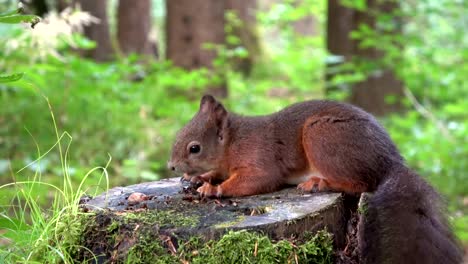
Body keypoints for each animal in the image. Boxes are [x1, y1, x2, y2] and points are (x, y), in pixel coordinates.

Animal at [167, 95, 460, 264]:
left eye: (195, 148)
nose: (171, 166)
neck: (231, 143)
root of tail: (389, 163)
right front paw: (200, 178)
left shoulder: (260, 160)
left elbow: (254, 180)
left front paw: (214, 189)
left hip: (321, 135)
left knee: (360, 184)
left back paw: (320, 183)